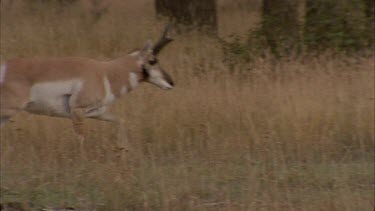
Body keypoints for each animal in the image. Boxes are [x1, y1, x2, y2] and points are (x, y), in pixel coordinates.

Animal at [0, 25, 175, 143]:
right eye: (152, 60)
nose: (171, 83)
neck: (105, 73)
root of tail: (5, 67)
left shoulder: (98, 113)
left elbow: (121, 121)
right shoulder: (77, 111)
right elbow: (81, 139)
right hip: (8, 110)